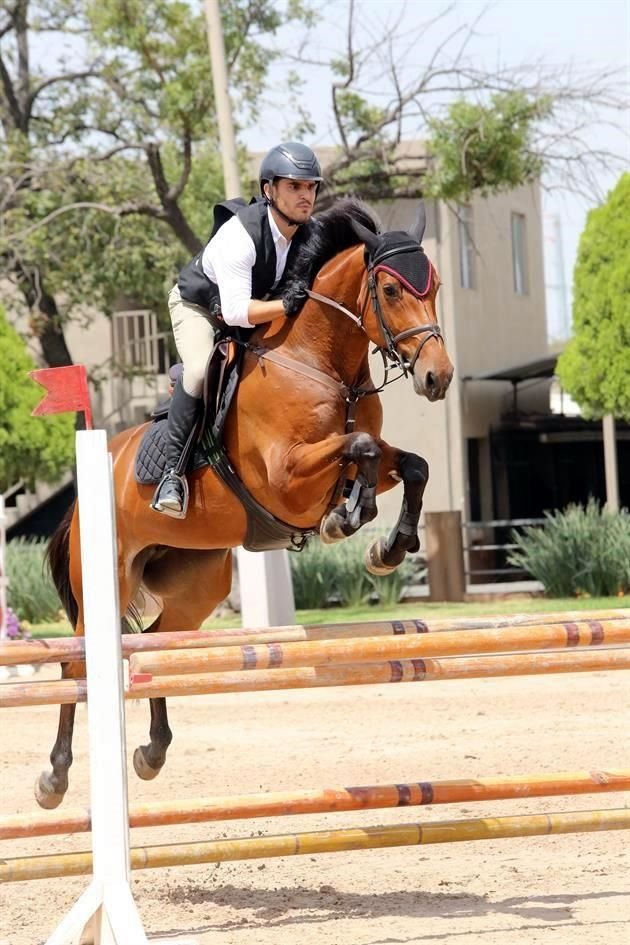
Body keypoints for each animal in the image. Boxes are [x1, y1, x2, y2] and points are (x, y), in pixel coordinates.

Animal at [39, 199, 454, 804]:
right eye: (391, 289)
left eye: (437, 286)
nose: (437, 377)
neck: (322, 363)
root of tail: (87, 486)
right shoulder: (285, 476)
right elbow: (361, 447)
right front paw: (345, 517)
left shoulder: (362, 459)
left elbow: (407, 462)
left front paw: (387, 548)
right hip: (106, 581)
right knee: (76, 666)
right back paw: (55, 775)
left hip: (197, 583)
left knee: (156, 644)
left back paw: (152, 752)